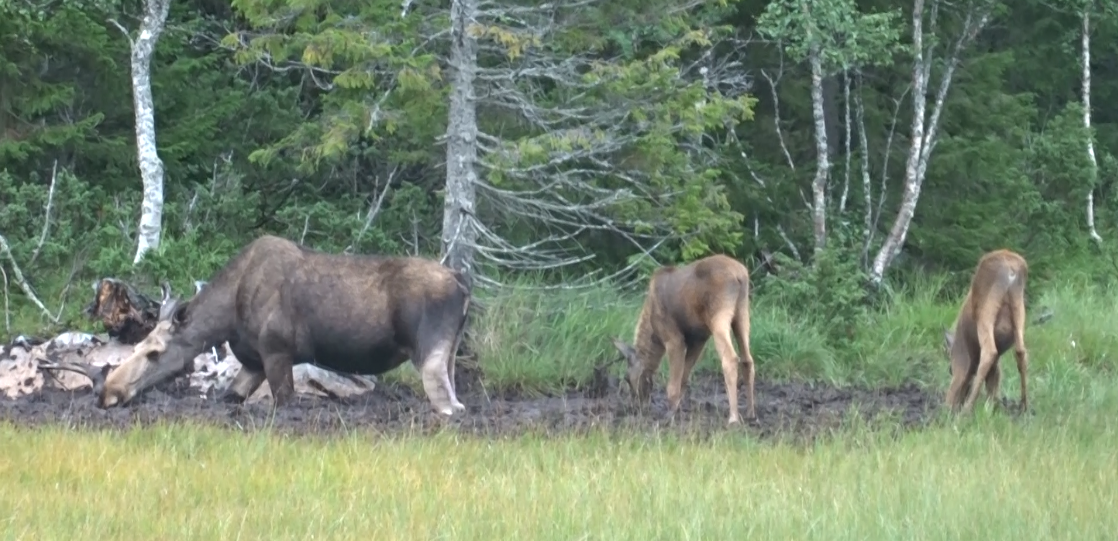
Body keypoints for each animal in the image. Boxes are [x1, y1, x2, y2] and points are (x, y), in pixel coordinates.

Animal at [54, 234, 471, 415]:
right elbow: (229, 396)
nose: (108, 394)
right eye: (138, 344)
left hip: (429, 351)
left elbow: (284, 403)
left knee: (450, 406)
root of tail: (463, 283)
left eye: (154, 352)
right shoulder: (253, 362)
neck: (228, 318)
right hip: (451, 350)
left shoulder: (277, 352)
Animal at [612, 253, 760, 426]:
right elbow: (684, 377)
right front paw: (676, 410)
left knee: (730, 358)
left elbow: (673, 384)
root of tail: (740, 275)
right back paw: (751, 413)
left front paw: (668, 415)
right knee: (747, 360)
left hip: (719, 317)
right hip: (742, 315)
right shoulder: (698, 339)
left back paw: (733, 418)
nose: (636, 407)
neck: (654, 337)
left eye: (627, 378)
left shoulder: (674, 339)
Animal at [943, 249, 1028, 413]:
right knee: (1021, 352)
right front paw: (990, 408)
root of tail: (1012, 269)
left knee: (989, 352)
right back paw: (1024, 406)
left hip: (986, 311)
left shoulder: (961, 358)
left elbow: (956, 385)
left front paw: (948, 410)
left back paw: (967, 410)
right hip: (1019, 310)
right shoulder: (996, 363)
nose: (949, 369)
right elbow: (994, 381)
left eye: (949, 354)